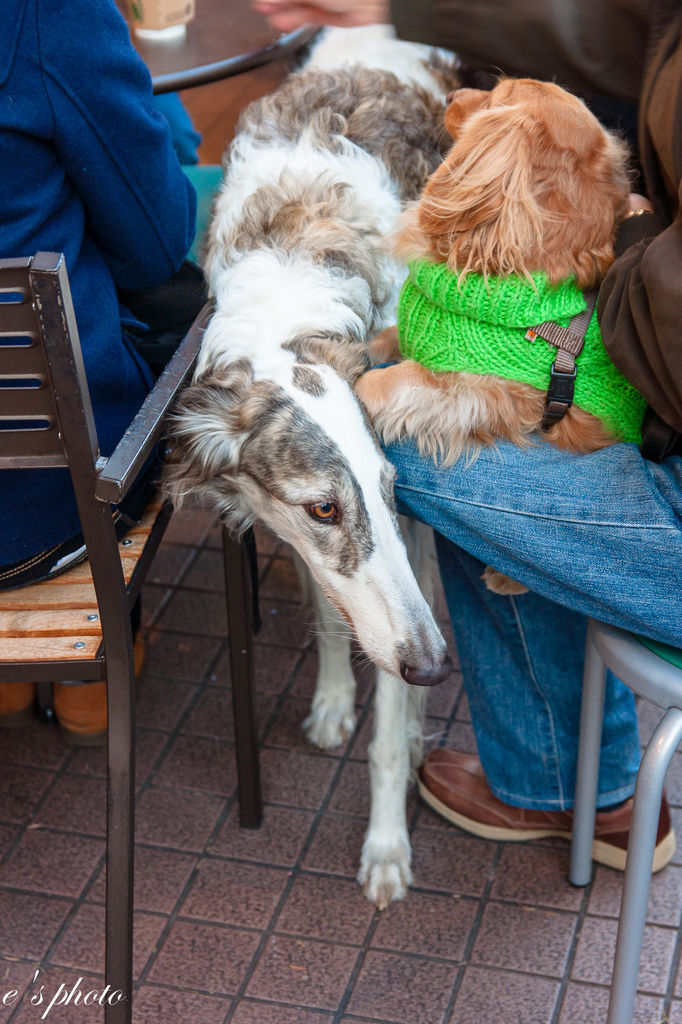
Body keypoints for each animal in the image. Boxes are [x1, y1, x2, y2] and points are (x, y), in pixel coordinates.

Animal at [166, 25, 458, 905]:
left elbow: (389, 729)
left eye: (394, 492)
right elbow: (335, 615)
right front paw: (334, 698)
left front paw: (388, 848)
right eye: (322, 507)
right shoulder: (297, 535)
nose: (436, 666)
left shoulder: (411, 528)